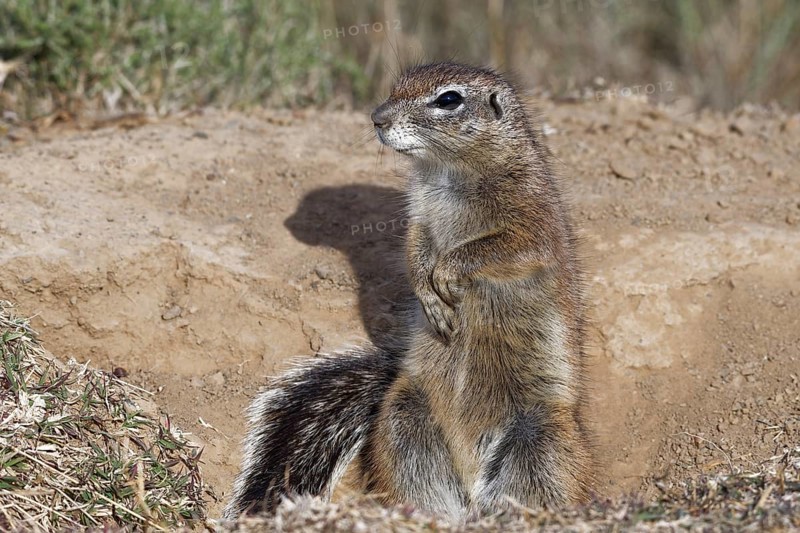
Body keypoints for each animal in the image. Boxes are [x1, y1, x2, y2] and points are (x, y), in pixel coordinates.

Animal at [224, 62, 593, 521]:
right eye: (397, 85)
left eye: (448, 99)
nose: (377, 118)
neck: (447, 171)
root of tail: (469, 481)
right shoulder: (418, 216)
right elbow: (414, 249)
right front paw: (429, 294)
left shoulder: (532, 219)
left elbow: (500, 248)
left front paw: (448, 272)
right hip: (404, 418)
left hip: (542, 440)